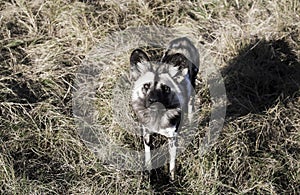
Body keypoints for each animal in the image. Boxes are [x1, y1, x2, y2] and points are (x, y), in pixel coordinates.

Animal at [129, 37, 198, 181]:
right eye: (146, 86)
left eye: (166, 88)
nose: (154, 101)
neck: (157, 118)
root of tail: (184, 39)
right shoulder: (147, 134)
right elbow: (148, 156)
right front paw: (149, 175)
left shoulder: (172, 139)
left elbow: (172, 164)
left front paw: (172, 180)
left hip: (192, 91)